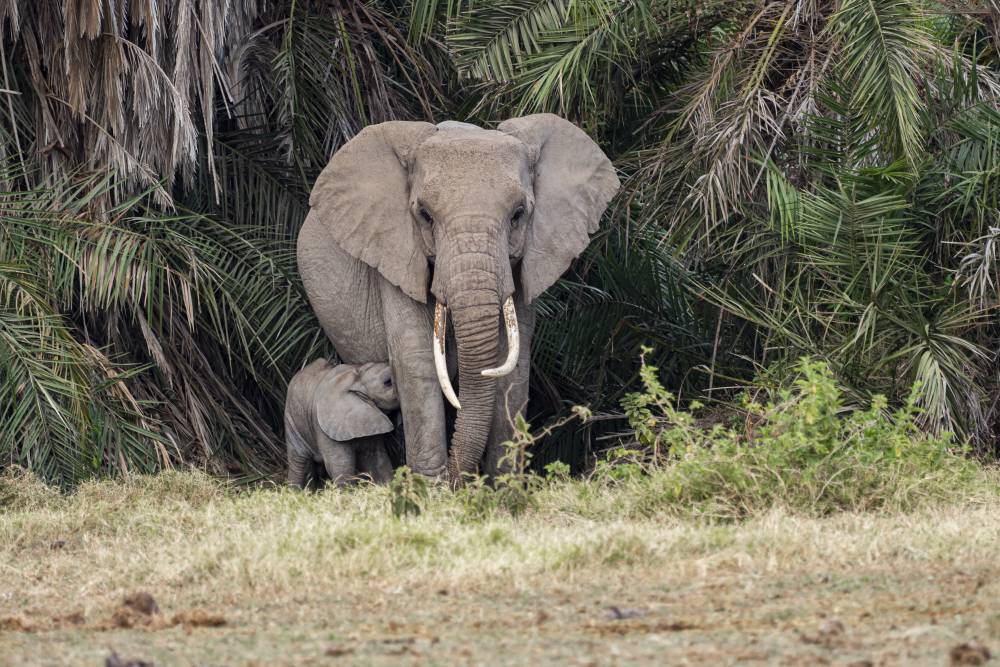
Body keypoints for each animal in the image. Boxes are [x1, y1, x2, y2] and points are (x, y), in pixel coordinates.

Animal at [284, 359, 398, 488]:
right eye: (388, 382)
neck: (356, 376)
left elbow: (376, 458)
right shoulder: (324, 427)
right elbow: (340, 465)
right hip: (291, 419)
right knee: (298, 463)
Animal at [297, 114, 619, 482]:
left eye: (518, 214)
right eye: (424, 215)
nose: (457, 482)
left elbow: (512, 366)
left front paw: (502, 486)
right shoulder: (396, 253)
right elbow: (416, 362)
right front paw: (430, 489)